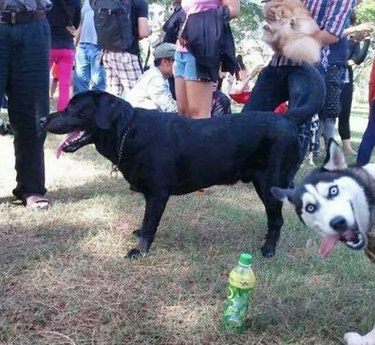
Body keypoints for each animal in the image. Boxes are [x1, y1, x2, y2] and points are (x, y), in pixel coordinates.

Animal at [41, 63, 326, 258]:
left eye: (75, 108)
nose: (43, 119)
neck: (128, 132)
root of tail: (287, 118)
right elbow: (145, 221)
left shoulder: (158, 192)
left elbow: (149, 223)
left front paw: (140, 250)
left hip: (269, 183)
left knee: (276, 219)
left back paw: (268, 249)